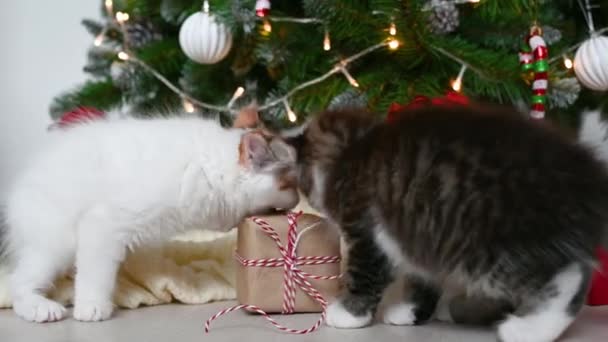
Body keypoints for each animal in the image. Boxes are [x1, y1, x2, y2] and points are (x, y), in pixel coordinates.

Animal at [0, 110, 296, 324]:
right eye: (290, 184)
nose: (297, 200)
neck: (210, 167)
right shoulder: (103, 225)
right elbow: (95, 275)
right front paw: (91, 307)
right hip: (57, 243)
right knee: (18, 283)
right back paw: (41, 308)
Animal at [282, 105, 608, 342]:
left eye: (303, 184)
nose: (310, 201)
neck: (353, 149)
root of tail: (588, 175)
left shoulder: (368, 233)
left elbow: (363, 277)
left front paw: (348, 315)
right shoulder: (418, 235)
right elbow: (424, 279)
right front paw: (412, 312)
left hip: (492, 246)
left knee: (566, 277)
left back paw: (530, 329)